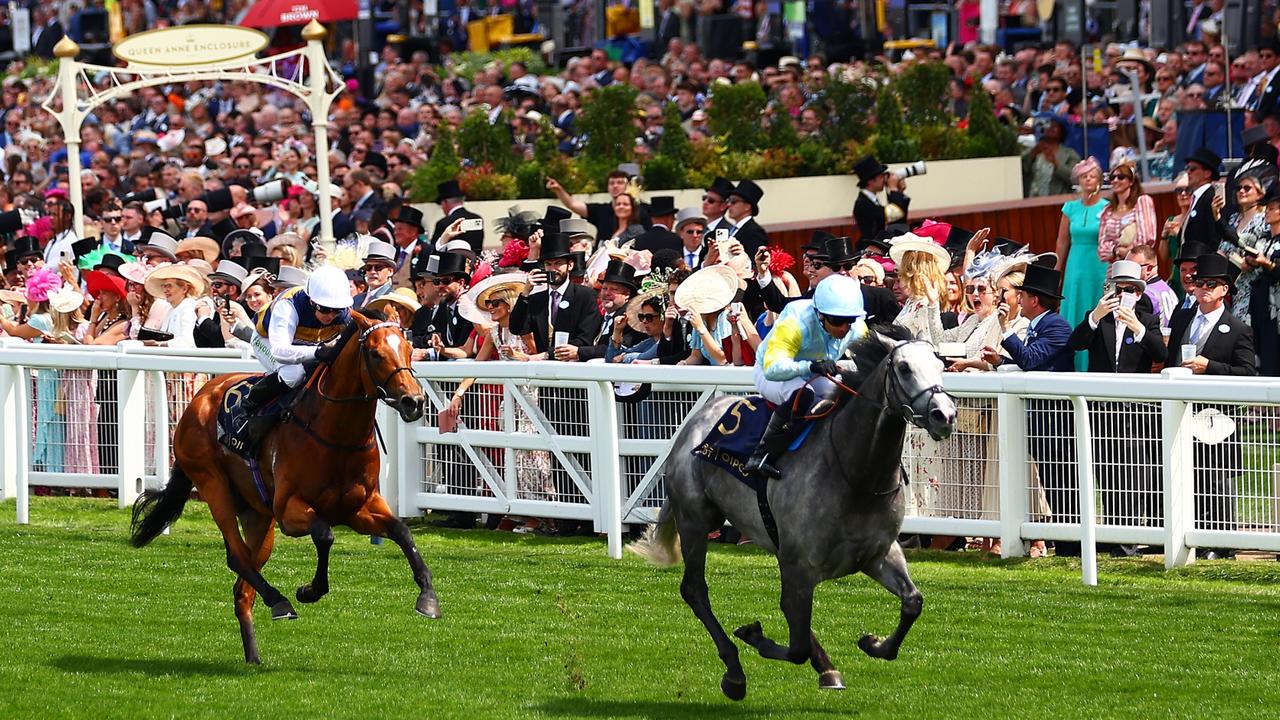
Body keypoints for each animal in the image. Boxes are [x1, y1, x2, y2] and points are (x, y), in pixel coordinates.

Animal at [128, 308, 435, 661]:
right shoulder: (289, 511)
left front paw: (428, 597)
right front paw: (309, 590)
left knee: (242, 586)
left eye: (409, 350)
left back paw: (254, 656)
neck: (337, 434)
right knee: (236, 556)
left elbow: (402, 531)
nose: (414, 401)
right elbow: (324, 533)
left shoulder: (360, 508)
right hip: (212, 484)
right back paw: (279, 601)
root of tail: (201, 396)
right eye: (375, 354)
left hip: (259, 516)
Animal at [634, 325, 957, 696]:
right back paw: (734, 672)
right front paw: (753, 635)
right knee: (695, 590)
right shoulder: (801, 564)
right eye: (904, 368)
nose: (944, 415)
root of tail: (695, 421)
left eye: (941, 364)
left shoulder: (878, 553)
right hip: (695, 520)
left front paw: (872, 643)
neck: (855, 473)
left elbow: (912, 602)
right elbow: (797, 645)